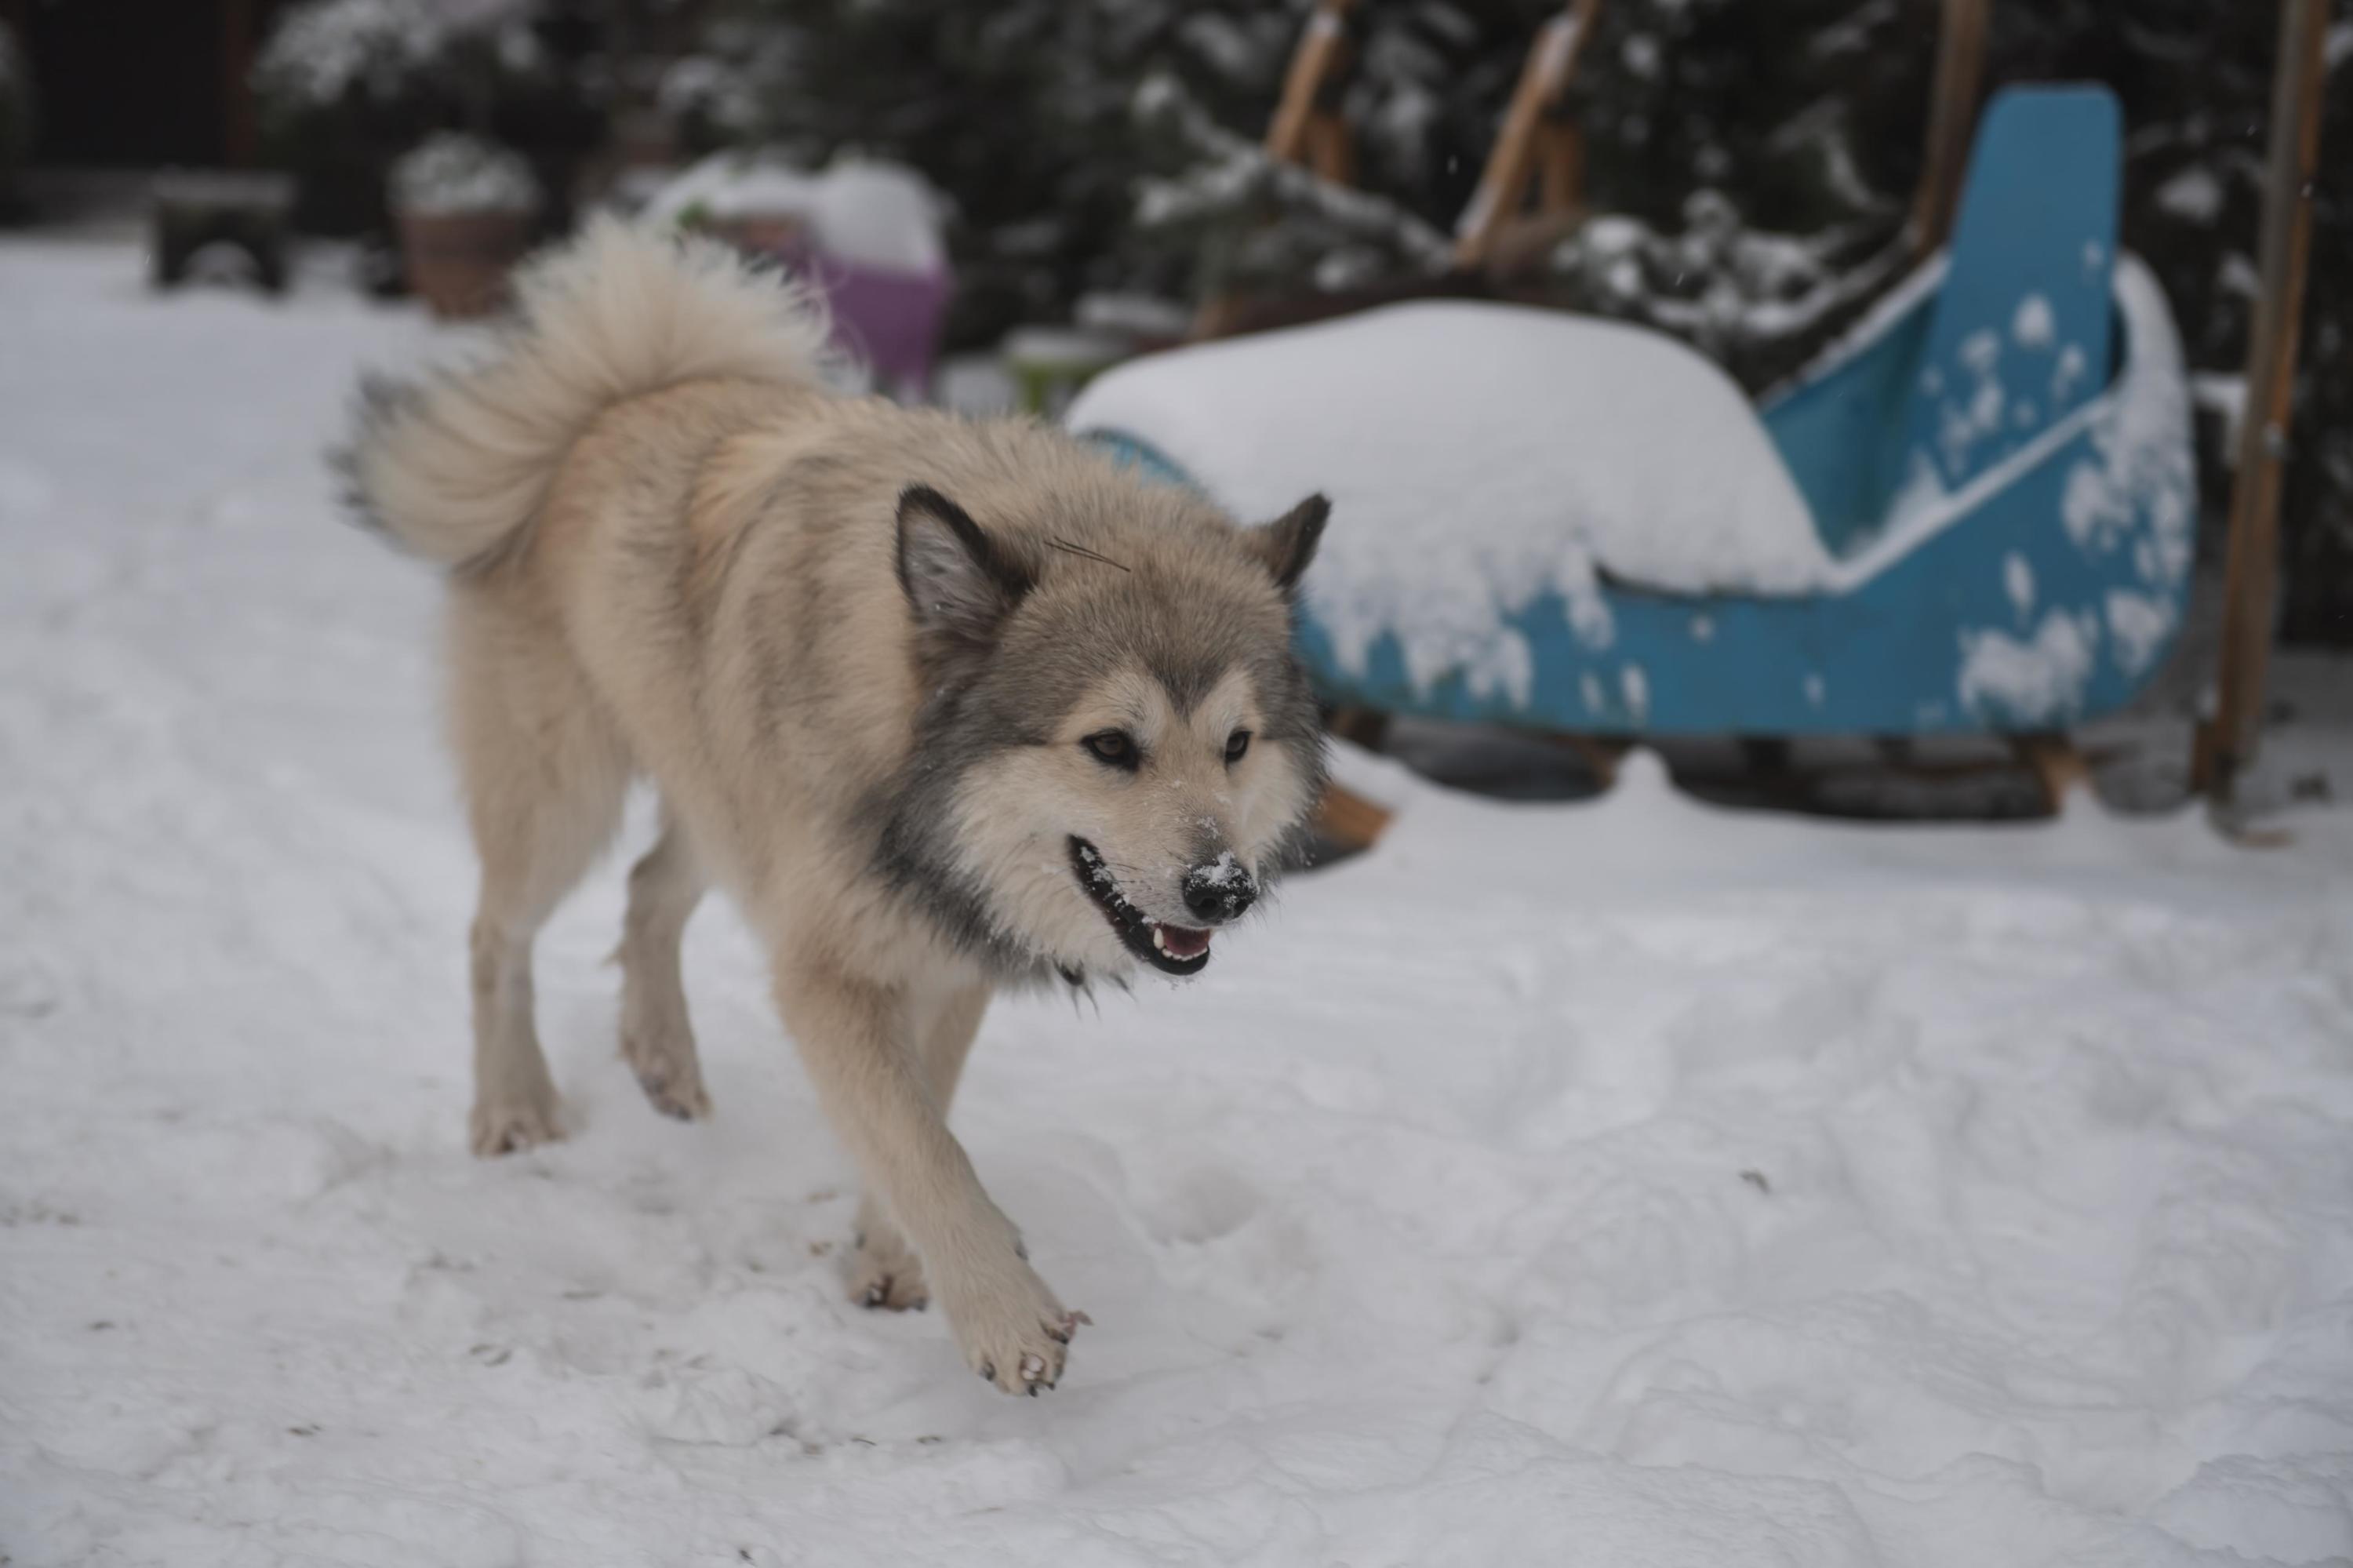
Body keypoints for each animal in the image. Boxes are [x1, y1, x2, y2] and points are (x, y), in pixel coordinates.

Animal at [346, 214, 1337, 1384]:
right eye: (1110, 744)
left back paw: (663, 1061)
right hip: (567, 802)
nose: (1224, 888)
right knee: (496, 933)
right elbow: (919, 1141)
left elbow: (923, 1114)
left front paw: (889, 1256)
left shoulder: (945, 958)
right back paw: (513, 1107)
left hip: (717, 804)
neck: (914, 794)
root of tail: (616, 397)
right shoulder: (825, 968)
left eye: (1235, 745)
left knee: (647, 890)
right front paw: (1002, 1312)